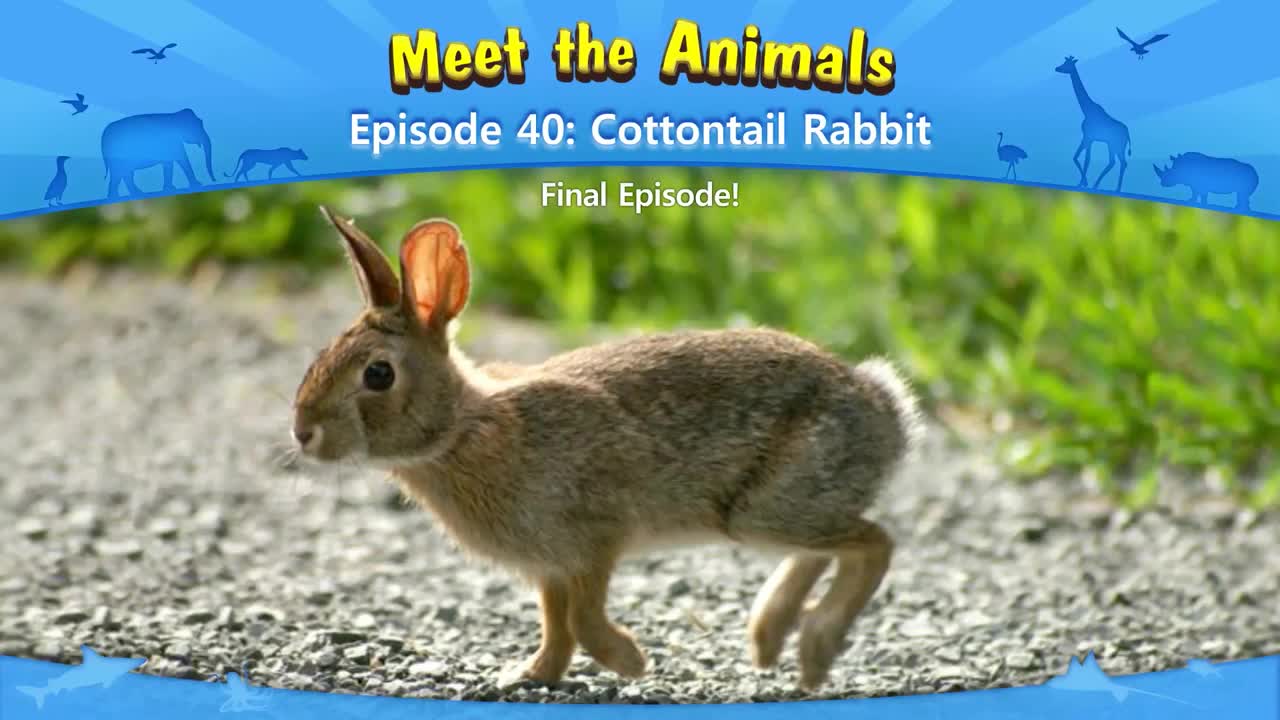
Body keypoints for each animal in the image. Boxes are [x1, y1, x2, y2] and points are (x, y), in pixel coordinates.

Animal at [292, 207, 923, 690]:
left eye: (378, 375)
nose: (302, 432)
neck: (461, 428)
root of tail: (885, 409)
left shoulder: (595, 537)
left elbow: (584, 620)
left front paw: (632, 662)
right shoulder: (549, 566)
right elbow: (556, 625)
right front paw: (529, 676)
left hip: (766, 507)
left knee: (875, 543)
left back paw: (813, 649)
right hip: (773, 515)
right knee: (828, 548)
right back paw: (770, 640)